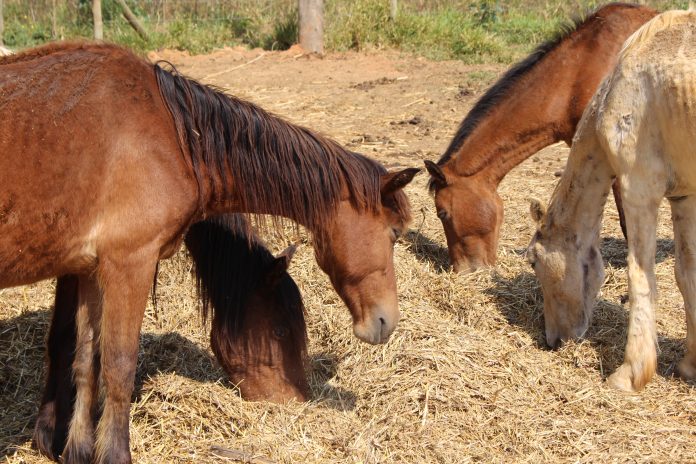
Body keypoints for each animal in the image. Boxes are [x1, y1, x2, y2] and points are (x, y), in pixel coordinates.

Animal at [527, 9, 696, 392]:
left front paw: (630, 373)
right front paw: (690, 364)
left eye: (534, 261)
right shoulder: (684, 196)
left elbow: (640, 276)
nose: (552, 340)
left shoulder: (639, 188)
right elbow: (686, 273)